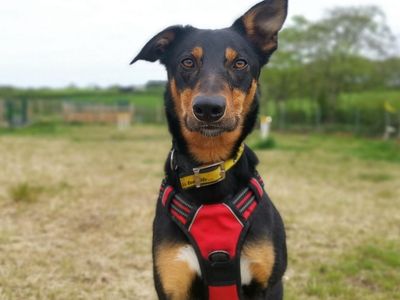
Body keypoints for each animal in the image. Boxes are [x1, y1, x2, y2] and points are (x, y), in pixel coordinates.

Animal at [131, 1, 288, 298]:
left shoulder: (270, 284)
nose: (208, 108)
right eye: (187, 61)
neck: (209, 165)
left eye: (240, 63)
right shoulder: (172, 281)